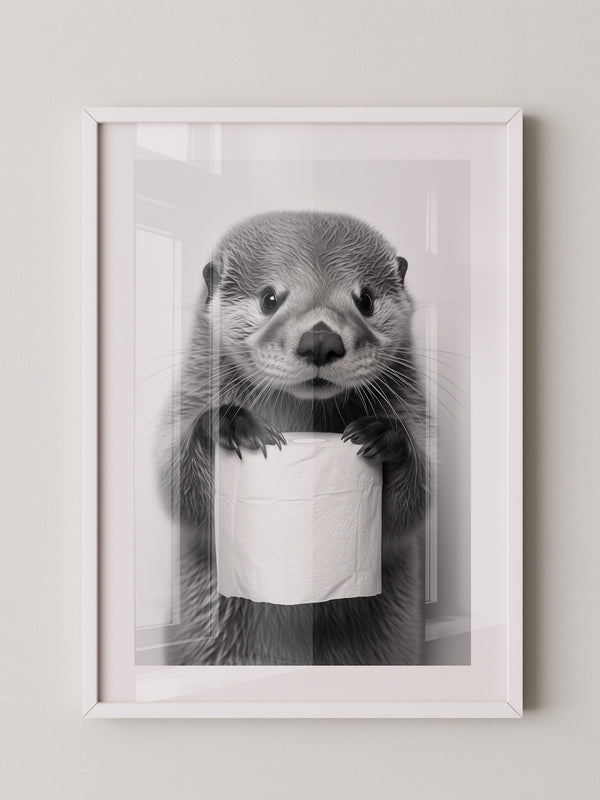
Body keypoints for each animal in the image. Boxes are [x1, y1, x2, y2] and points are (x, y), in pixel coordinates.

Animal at [159, 210, 429, 665]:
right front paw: (230, 425)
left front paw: (384, 434)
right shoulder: (192, 392)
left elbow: (413, 509)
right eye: (270, 298)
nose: (320, 340)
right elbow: (178, 493)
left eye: (366, 300)